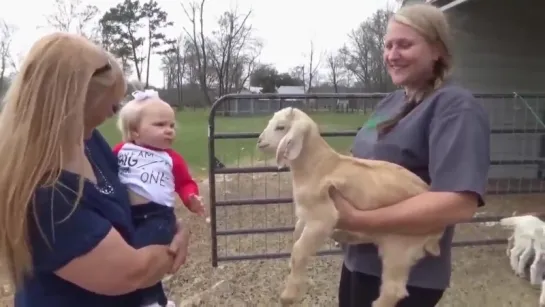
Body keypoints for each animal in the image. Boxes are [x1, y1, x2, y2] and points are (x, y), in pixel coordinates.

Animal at [255, 107, 442, 307]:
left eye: (280, 127)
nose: (259, 141)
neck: (318, 166)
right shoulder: (306, 214)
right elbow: (297, 236)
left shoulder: (323, 217)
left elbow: (299, 250)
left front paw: (289, 295)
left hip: (399, 246)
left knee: (395, 289)